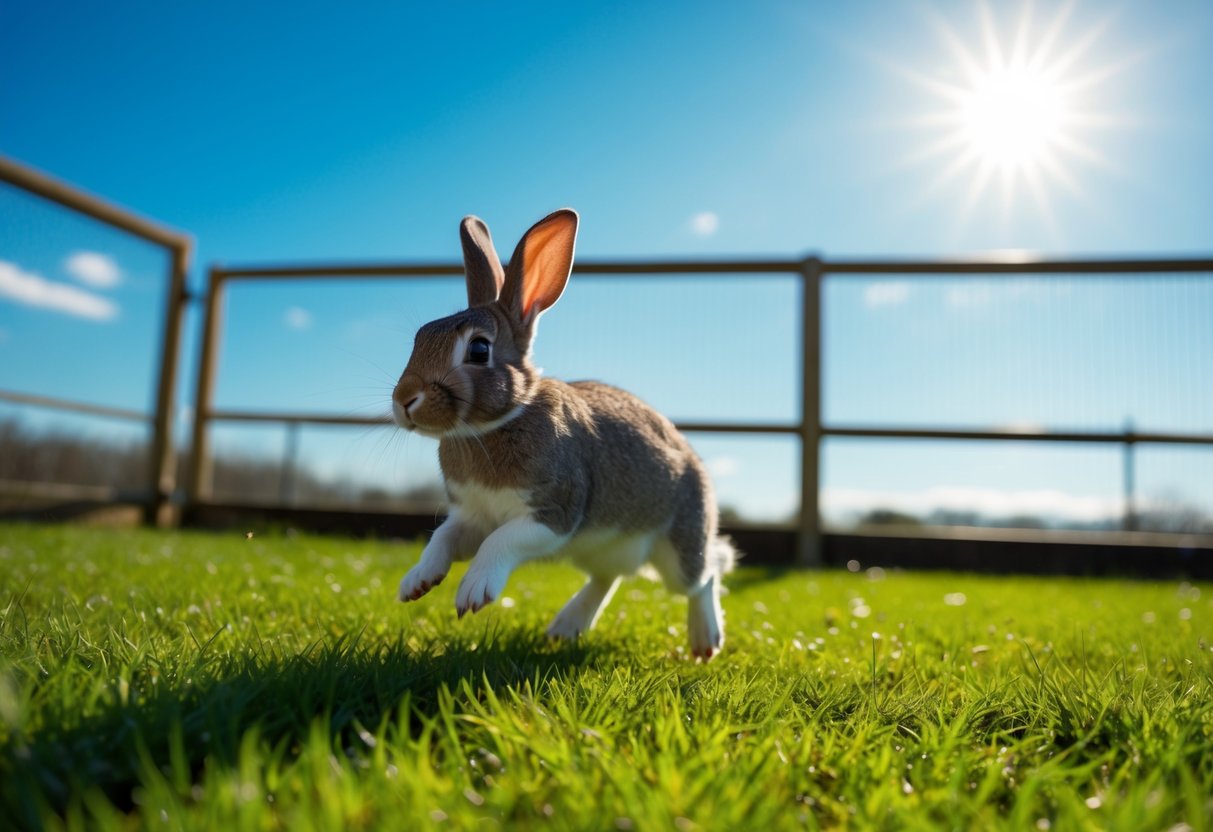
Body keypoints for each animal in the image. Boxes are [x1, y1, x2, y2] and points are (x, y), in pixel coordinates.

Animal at [391, 208, 735, 659]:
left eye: (479, 350)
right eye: (419, 338)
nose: (403, 400)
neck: (499, 421)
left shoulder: (553, 514)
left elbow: (500, 541)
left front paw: (473, 592)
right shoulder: (471, 515)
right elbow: (443, 538)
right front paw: (416, 582)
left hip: (680, 549)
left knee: (707, 571)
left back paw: (704, 639)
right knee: (608, 578)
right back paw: (567, 626)